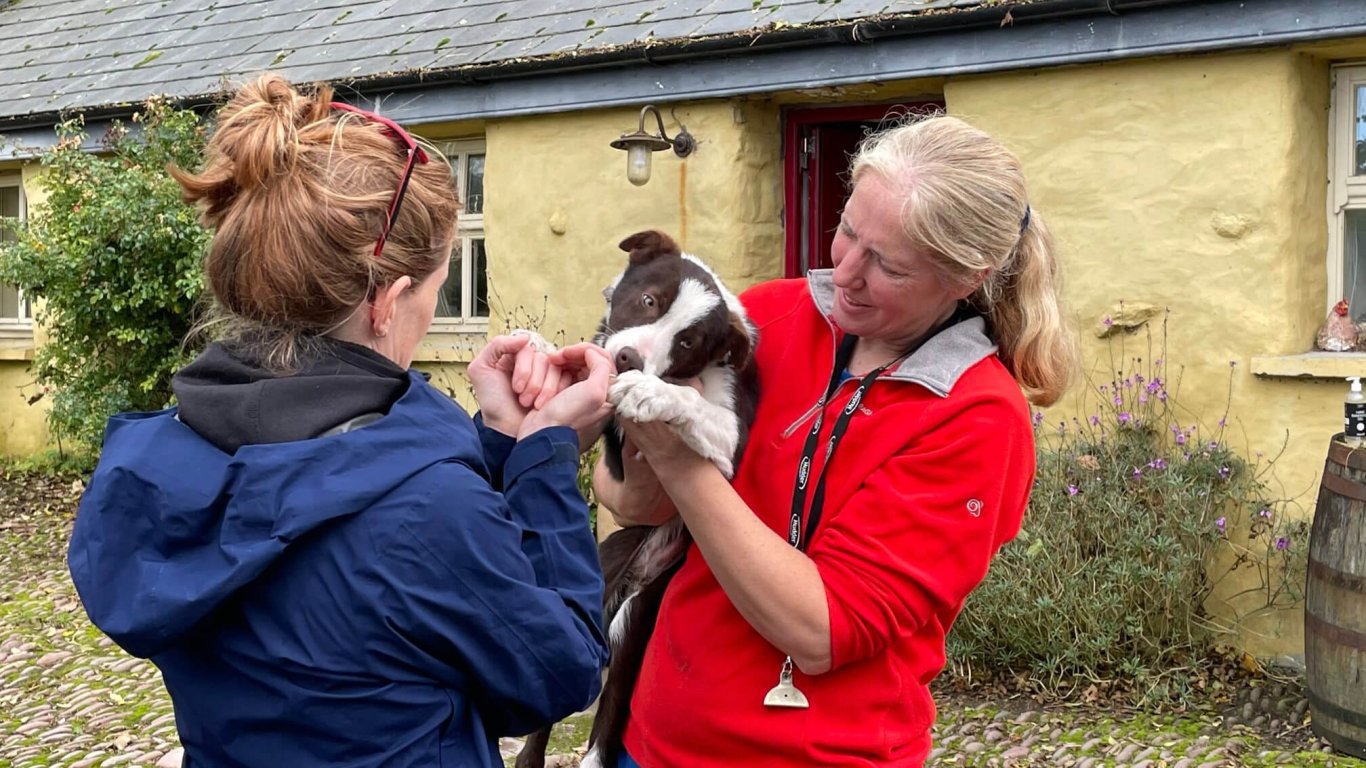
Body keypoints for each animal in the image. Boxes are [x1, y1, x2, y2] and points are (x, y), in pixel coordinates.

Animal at [516, 232, 764, 765]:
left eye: (688, 342)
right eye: (649, 301)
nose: (630, 359)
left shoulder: (731, 443)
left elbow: (691, 402)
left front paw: (651, 392)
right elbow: (582, 366)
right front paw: (541, 350)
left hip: (639, 616)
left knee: (609, 713)